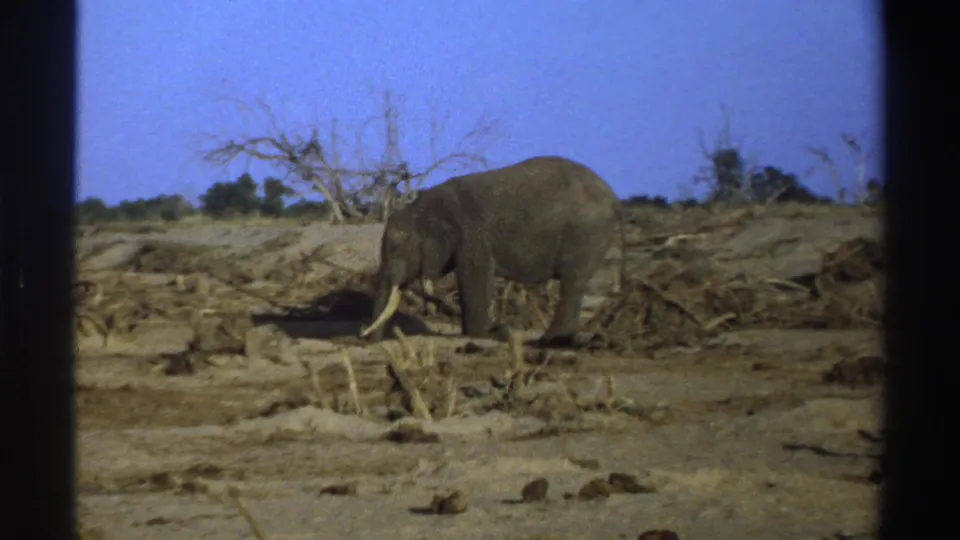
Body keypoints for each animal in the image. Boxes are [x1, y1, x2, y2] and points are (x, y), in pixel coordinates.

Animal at [360, 155, 625, 348]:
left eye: (399, 249)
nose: (365, 340)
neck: (426, 204)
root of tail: (613, 197)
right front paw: (488, 331)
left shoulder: (472, 235)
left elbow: (474, 278)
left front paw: (480, 333)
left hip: (586, 232)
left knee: (572, 283)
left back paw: (550, 342)